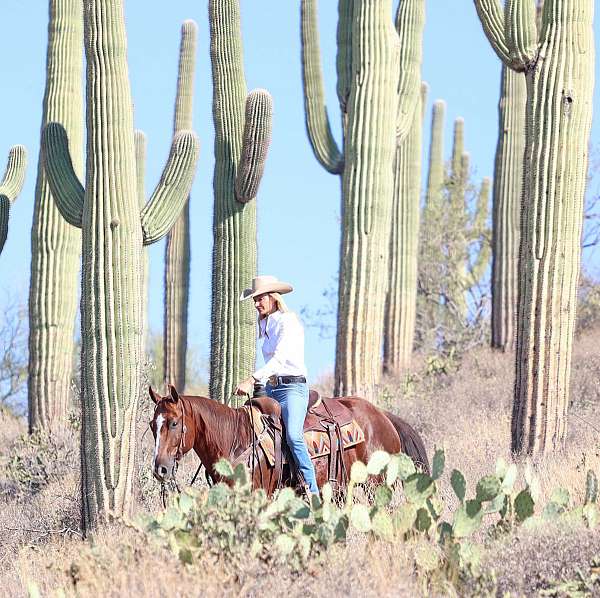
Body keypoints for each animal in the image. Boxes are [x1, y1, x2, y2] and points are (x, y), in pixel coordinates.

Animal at [150, 386, 428, 494]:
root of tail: (383, 416)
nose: (160, 469)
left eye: (174, 423)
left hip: (377, 486)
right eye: (153, 426)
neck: (235, 439)